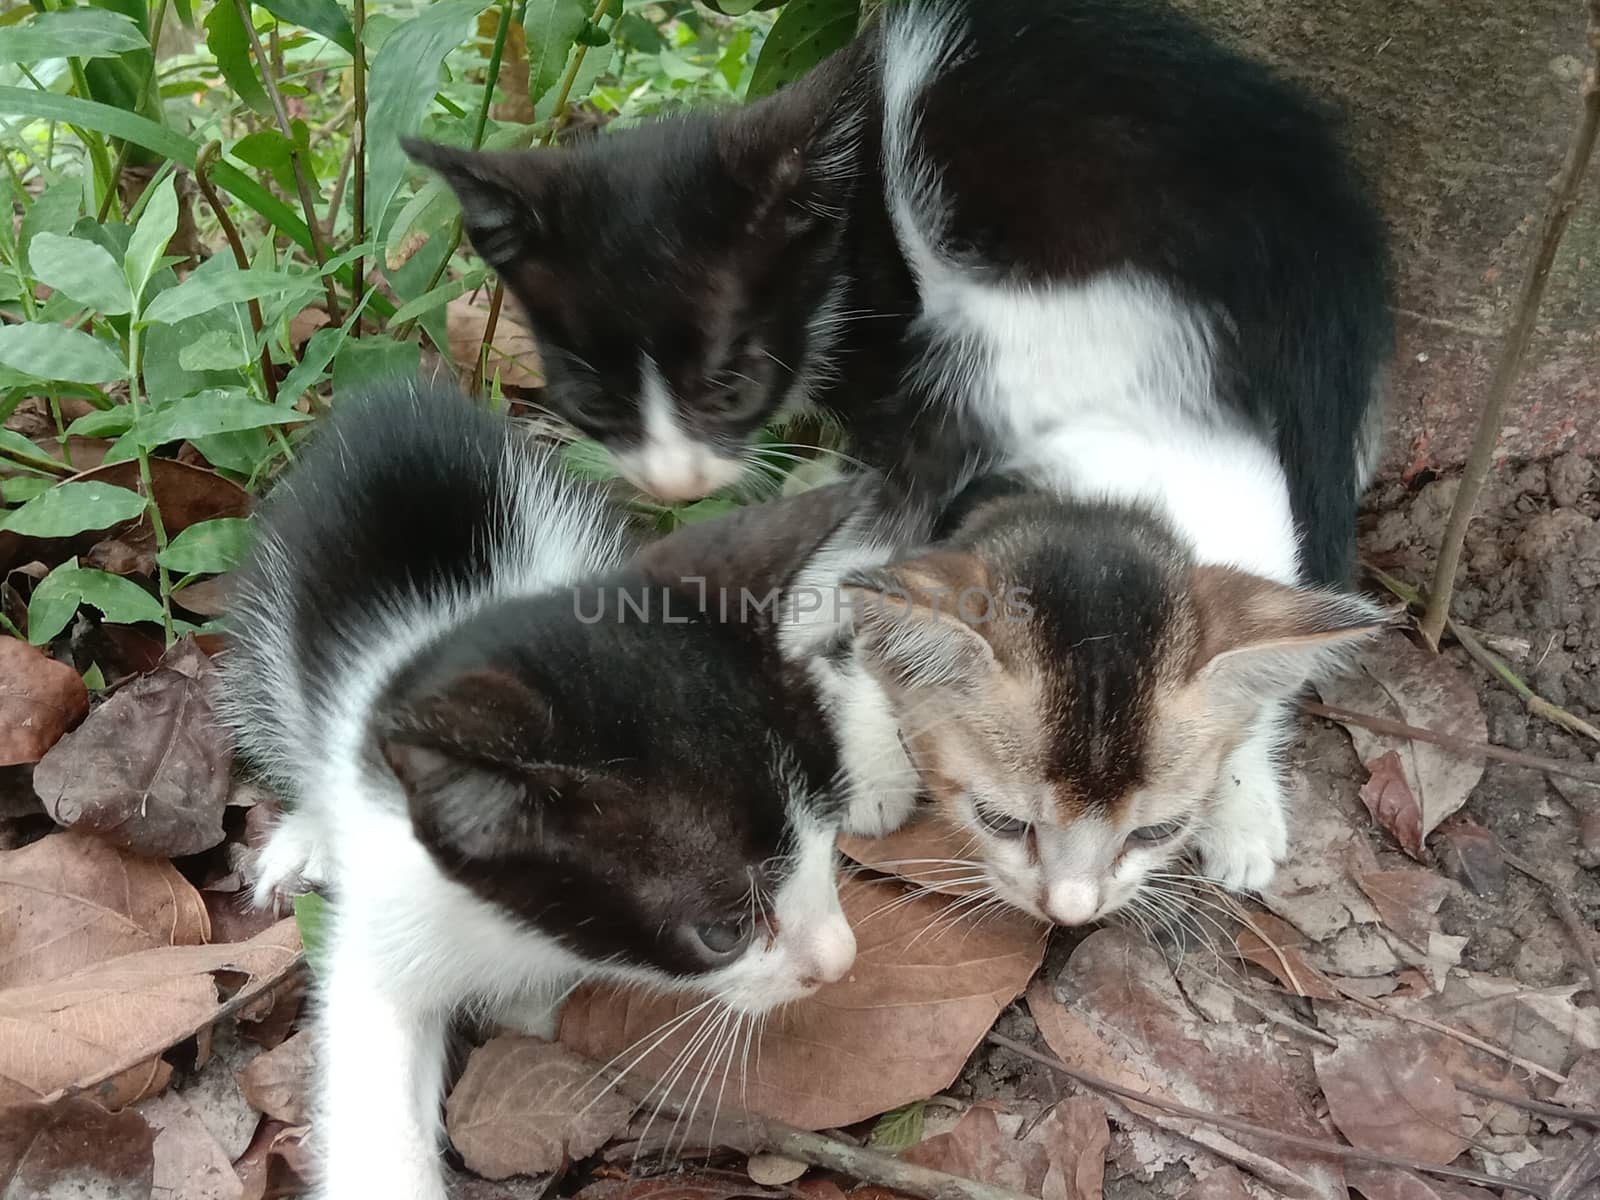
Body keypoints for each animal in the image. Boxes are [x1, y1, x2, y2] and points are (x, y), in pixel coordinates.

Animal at [222, 382, 864, 1200]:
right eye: (723, 931)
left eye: (830, 841)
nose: (839, 963)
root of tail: (393, 394)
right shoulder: (393, 905)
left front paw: (529, 1004)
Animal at [409, 0, 1388, 588]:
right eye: (592, 401)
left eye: (729, 387)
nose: (676, 485)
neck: (844, 234)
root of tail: (1321, 225)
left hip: (1054, 302)